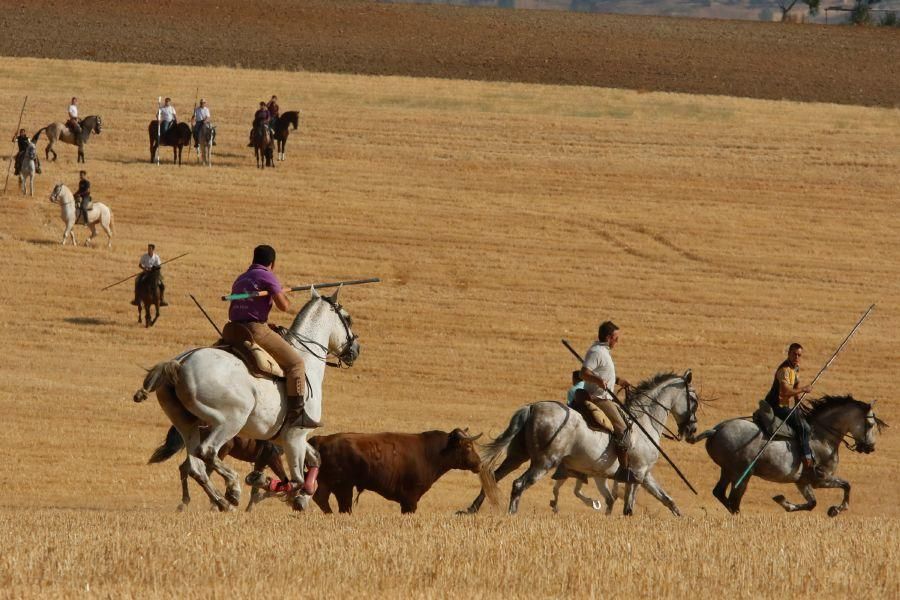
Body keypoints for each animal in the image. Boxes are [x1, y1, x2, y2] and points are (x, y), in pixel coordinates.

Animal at [149, 426, 288, 510]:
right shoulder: (272, 457)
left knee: (186, 469)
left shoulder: (261, 461)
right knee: (202, 472)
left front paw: (250, 508)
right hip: (220, 451)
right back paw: (219, 502)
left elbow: (256, 487)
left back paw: (185, 502)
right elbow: (284, 480)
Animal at [308, 428, 482, 512]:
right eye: (468, 446)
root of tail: (322, 439)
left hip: (330, 483)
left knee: (321, 498)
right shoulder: (410, 499)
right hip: (342, 486)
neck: (429, 452)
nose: (479, 463)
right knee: (341, 505)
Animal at [460, 370, 700, 516]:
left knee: (493, 476)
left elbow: (666, 499)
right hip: (544, 462)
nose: (692, 430)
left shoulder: (644, 474)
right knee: (518, 484)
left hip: (518, 456)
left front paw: (681, 519)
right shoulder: (639, 472)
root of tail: (532, 408)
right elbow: (628, 507)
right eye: (694, 400)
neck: (644, 422)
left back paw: (471, 509)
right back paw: (511, 515)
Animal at [692, 396, 884, 516]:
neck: (823, 436)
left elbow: (812, 503)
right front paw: (836, 510)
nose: (871, 447)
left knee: (720, 493)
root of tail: (718, 429)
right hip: (742, 474)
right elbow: (847, 485)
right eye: (870, 424)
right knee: (734, 500)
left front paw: (783, 501)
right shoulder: (821, 479)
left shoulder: (802, 482)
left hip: (727, 471)